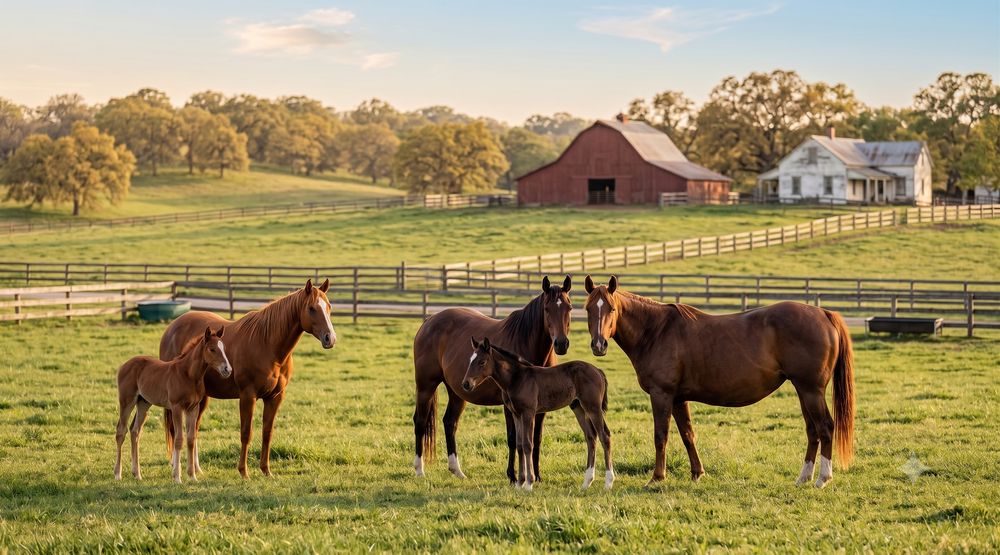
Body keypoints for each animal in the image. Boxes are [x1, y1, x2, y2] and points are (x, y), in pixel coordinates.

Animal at [115, 326, 232, 483]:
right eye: (212, 349)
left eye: (224, 348)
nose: (227, 370)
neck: (188, 375)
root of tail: (125, 365)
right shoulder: (177, 407)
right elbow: (179, 439)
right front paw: (177, 477)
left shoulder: (193, 408)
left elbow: (190, 439)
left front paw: (192, 476)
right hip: (127, 401)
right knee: (121, 431)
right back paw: (117, 474)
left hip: (143, 403)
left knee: (135, 431)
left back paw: (137, 474)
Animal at [159, 278, 336, 478]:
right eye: (312, 308)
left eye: (329, 307)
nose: (330, 338)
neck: (267, 345)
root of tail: (172, 328)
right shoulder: (247, 396)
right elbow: (246, 433)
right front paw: (244, 472)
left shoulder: (275, 397)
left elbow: (267, 432)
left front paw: (266, 470)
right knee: (176, 431)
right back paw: (176, 468)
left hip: (200, 398)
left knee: (194, 429)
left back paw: (197, 469)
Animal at [412, 275, 573, 483]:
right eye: (547, 309)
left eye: (569, 307)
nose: (561, 344)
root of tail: (429, 321)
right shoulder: (509, 405)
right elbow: (513, 438)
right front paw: (513, 476)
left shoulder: (540, 407)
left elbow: (536, 438)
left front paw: (536, 476)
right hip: (426, 386)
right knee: (420, 421)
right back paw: (419, 470)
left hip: (458, 391)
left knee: (450, 422)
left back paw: (457, 470)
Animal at [463, 337, 614, 491]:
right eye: (470, 360)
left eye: (482, 362)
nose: (466, 384)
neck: (517, 379)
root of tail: (598, 370)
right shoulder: (516, 414)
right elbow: (519, 445)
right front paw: (519, 483)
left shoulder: (528, 413)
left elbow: (528, 445)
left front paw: (529, 483)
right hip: (578, 407)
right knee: (591, 437)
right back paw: (586, 483)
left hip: (593, 407)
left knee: (604, 436)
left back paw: (608, 483)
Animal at [583, 275, 855, 488]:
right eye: (588, 309)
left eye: (612, 309)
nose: (599, 345)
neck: (656, 331)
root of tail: (824, 313)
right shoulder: (678, 399)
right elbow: (688, 435)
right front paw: (697, 473)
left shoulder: (662, 394)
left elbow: (661, 435)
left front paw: (657, 477)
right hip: (803, 391)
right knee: (812, 430)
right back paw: (803, 478)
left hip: (811, 390)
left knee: (825, 427)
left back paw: (822, 478)